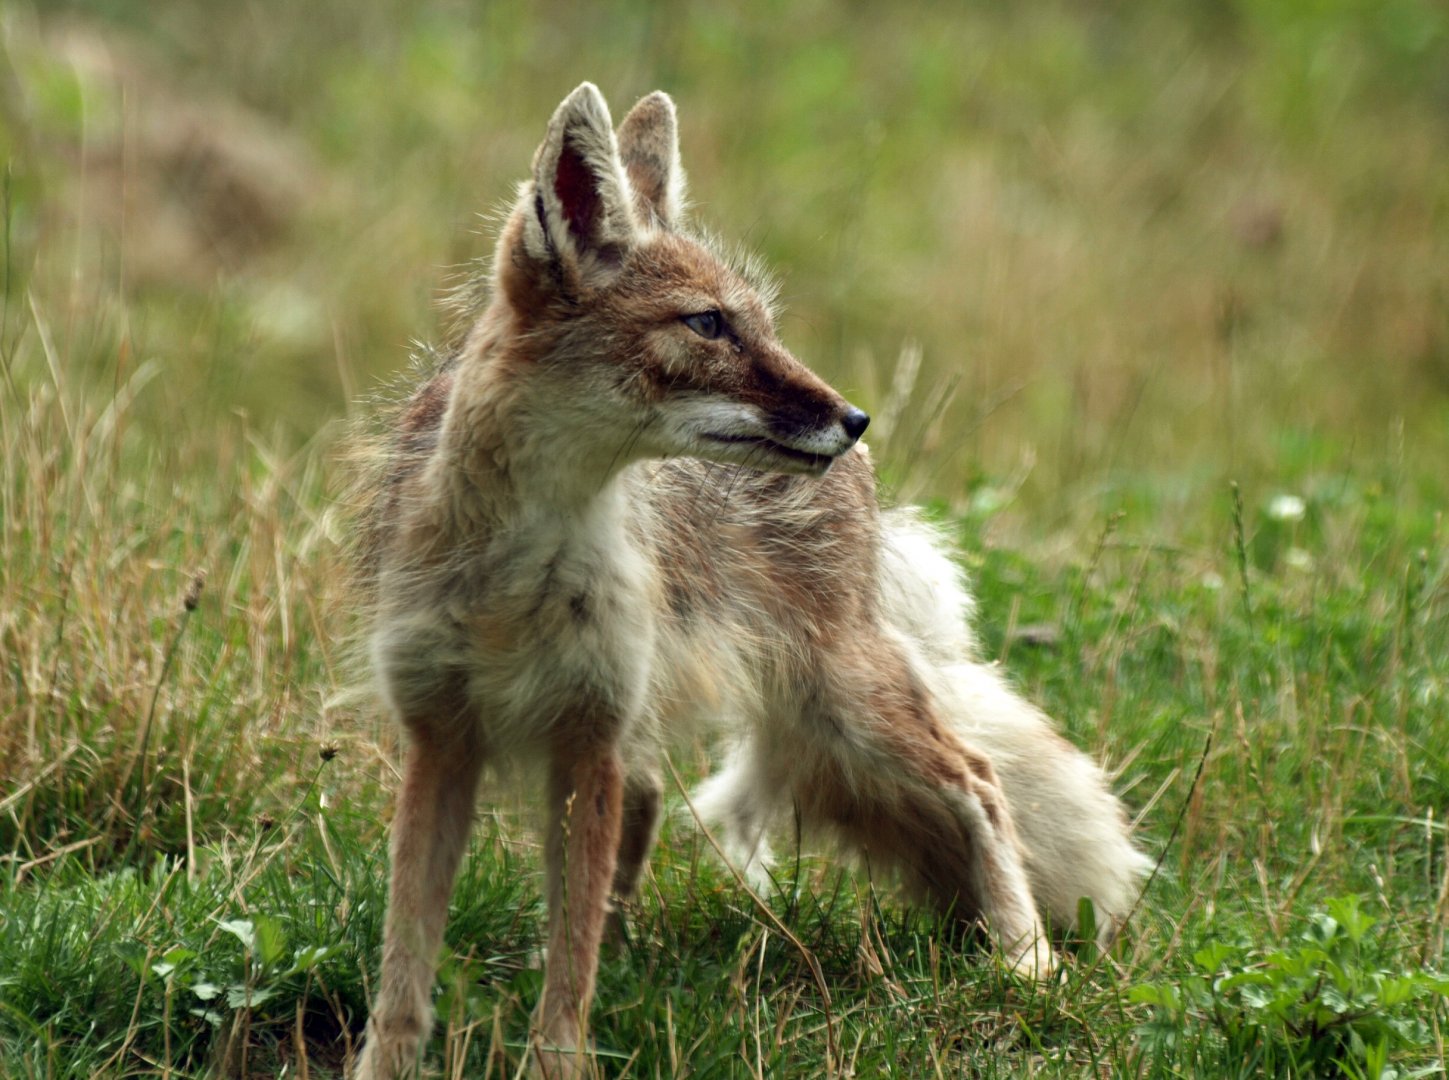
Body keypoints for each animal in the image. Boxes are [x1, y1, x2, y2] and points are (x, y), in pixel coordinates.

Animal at [351, 82, 1150, 1079]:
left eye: (756, 323)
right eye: (707, 323)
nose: (853, 417)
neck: (515, 572)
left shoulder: (586, 736)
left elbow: (565, 978)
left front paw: (559, 1059)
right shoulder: (444, 737)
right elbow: (407, 965)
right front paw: (389, 1062)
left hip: (843, 705)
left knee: (977, 776)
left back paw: (1025, 956)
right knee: (644, 810)